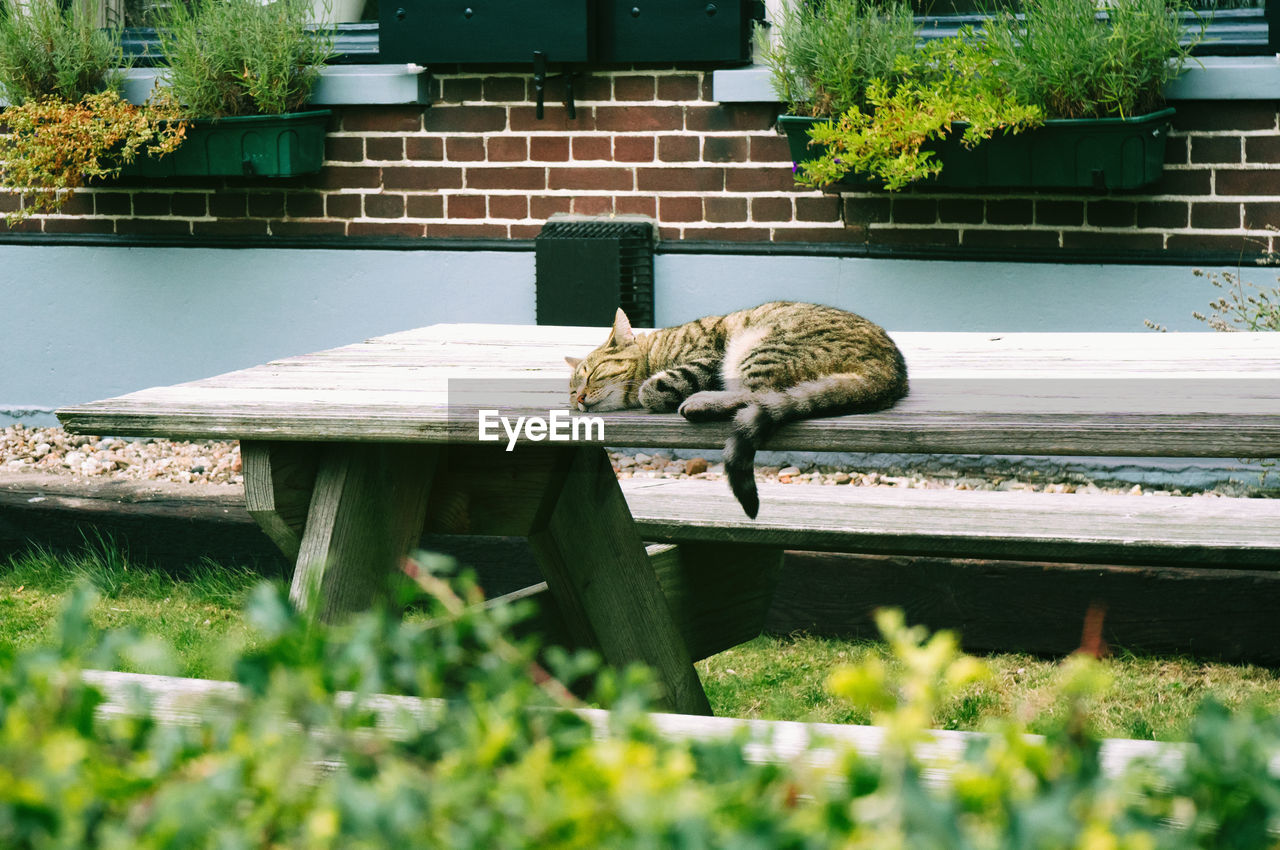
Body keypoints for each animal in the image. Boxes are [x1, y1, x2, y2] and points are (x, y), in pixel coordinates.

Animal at [563, 302, 911, 522]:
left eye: (591, 374)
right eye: (571, 388)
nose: (578, 398)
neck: (654, 351)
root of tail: (891, 371)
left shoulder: (707, 357)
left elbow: (653, 389)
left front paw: (653, 391)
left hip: (760, 348)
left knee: (755, 394)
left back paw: (701, 402)